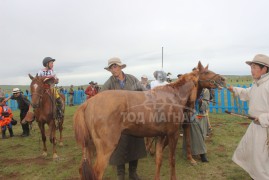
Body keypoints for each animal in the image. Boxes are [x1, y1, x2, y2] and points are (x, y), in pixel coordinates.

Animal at [73, 61, 224, 179]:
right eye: (206, 72)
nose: (222, 79)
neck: (175, 96)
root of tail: (88, 103)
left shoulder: (161, 136)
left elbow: (159, 160)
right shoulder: (173, 134)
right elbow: (172, 160)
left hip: (89, 146)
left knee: (82, 170)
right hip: (105, 147)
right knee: (96, 173)